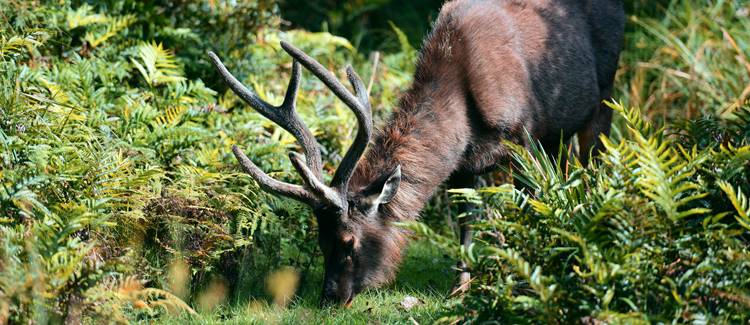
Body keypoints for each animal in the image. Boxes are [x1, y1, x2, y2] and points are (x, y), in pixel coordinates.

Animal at [209, 0, 624, 306]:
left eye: (348, 242)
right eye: (320, 241)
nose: (330, 298)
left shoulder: (524, 135)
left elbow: (532, 202)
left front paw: (525, 278)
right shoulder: (464, 162)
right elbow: (467, 220)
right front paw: (461, 288)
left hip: (603, 96)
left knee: (594, 162)